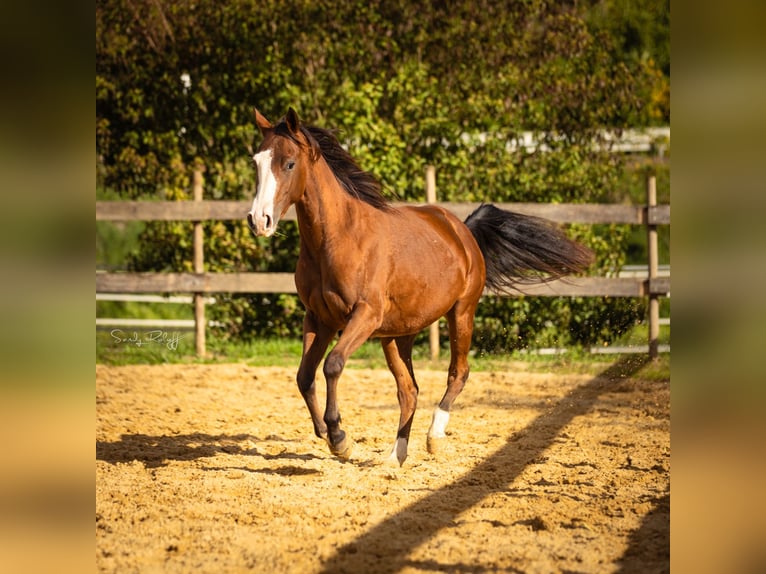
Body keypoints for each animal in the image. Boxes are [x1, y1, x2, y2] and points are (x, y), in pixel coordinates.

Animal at [247, 108, 593, 466]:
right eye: (256, 162)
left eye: (289, 163)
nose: (259, 221)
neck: (338, 238)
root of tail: (462, 230)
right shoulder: (319, 318)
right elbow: (304, 375)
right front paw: (327, 435)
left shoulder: (364, 315)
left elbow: (332, 365)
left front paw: (341, 438)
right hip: (397, 335)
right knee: (409, 390)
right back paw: (394, 457)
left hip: (461, 313)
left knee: (458, 371)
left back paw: (434, 436)